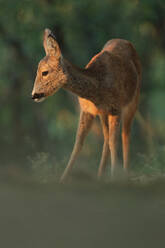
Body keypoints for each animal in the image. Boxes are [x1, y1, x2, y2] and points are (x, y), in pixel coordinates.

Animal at [32, 28, 142, 182]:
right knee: (106, 138)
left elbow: (114, 142)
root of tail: (124, 40)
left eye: (44, 72)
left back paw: (126, 173)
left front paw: (115, 177)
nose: (34, 95)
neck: (97, 89)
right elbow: (78, 143)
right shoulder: (88, 110)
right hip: (103, 114)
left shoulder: (116, 107)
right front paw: (62, 179)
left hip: (134, 99)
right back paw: (100, 175)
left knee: (125, 134)